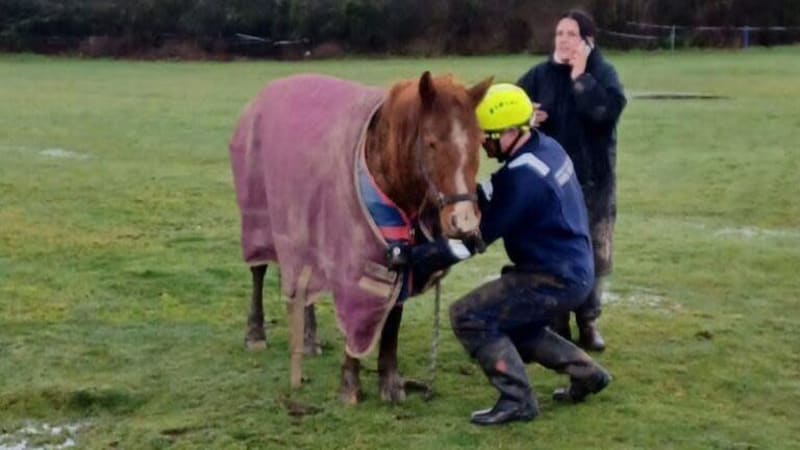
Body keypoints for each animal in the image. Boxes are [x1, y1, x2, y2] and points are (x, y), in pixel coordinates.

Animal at [229, 71, 491, 403]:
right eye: (431, 143)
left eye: (479, 142)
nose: (463, 220)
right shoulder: (356, 258)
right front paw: (350, 384)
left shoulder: (398, 257)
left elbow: (393, 316)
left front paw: (390, 381)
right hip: (260, 217)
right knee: (258, 270)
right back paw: (255, 333)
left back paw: (309, 338)